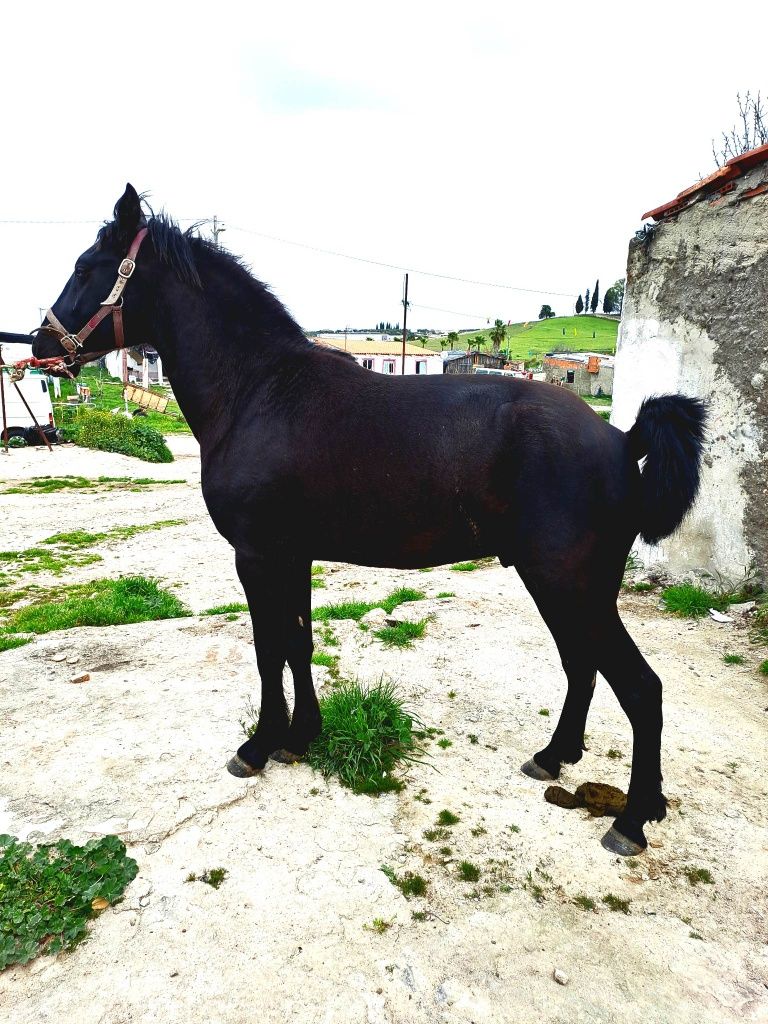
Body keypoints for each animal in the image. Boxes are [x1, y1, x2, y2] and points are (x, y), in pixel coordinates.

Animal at [36, 184, 708, 856]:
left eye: (87, 267)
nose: (40, 345)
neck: (256, 390)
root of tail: (622, 439)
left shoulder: (256, 556)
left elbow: (267, 647)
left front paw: (259, 745)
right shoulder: (291, 555)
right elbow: (298, 643)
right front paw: (301, 735)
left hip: (570, 585)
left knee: (641, 689)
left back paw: (632, 819)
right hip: (567, 587)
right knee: (582, 665)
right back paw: (556, 757)